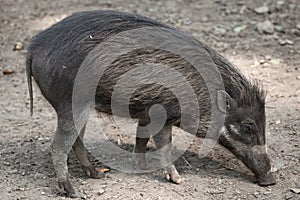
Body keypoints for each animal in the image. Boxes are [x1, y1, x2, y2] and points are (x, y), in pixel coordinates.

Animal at [27, 10, 276, 197]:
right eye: (247, 127)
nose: (271, 180)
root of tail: (34, 46)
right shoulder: (162, 114)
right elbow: (164, 146)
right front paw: (178, 180)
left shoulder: (147, 114)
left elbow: (141, 138)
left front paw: (143, 168)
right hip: (70, 104)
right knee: (59, 146)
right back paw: (73, 191)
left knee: (77, 141)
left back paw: (97, 174)